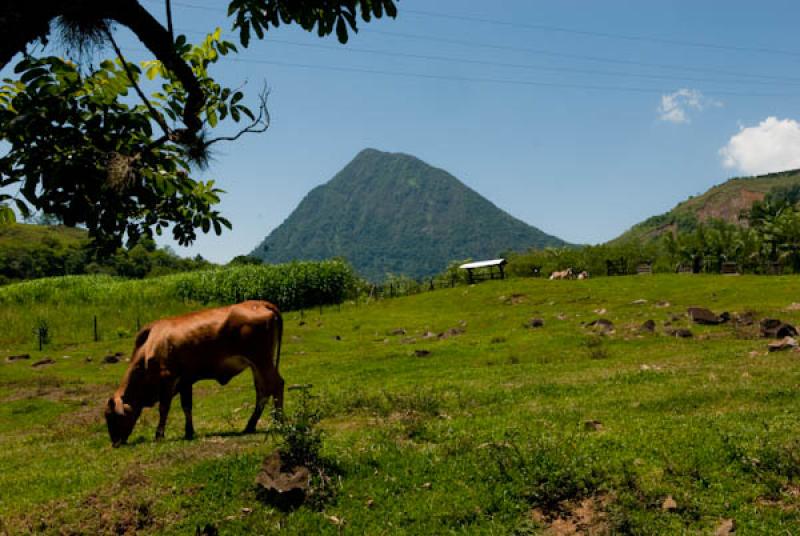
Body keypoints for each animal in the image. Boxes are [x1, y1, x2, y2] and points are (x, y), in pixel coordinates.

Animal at [104, 300, 282, 446]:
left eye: (111, 416)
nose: (115, 443)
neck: (149, 346)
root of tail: (260, 303)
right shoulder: (185, 381)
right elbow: (186, 407)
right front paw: (189, 432)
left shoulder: (168, 379)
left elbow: (164, 408)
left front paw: (159, 435)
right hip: (256, 366)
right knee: (263, 392)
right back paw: (250, 426)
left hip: (262, 361)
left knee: (276, 385)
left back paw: (279, 422)